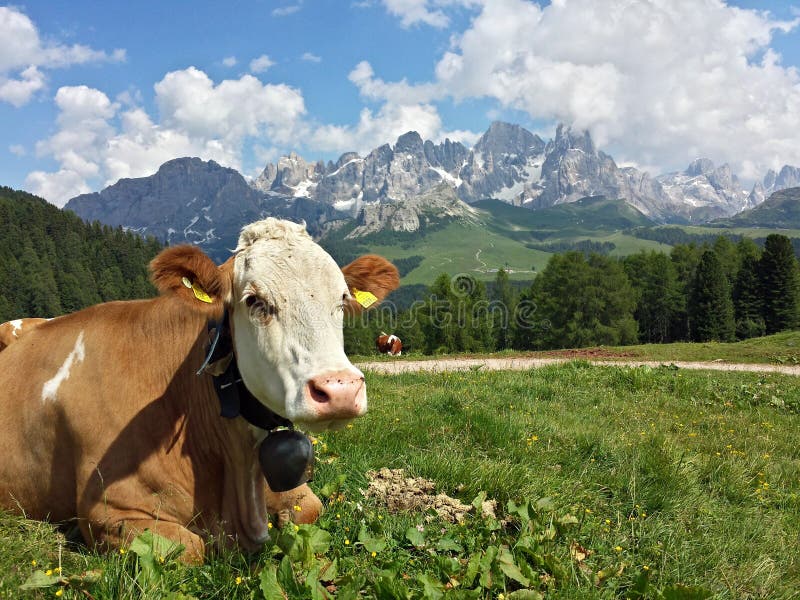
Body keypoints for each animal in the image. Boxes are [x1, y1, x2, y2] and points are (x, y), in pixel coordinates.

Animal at [0, 219, 398, 564]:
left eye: (342, 299)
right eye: (254, 300)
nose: (340, 389)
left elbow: (311, 508)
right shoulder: (107, 511)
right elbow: (191, 549)